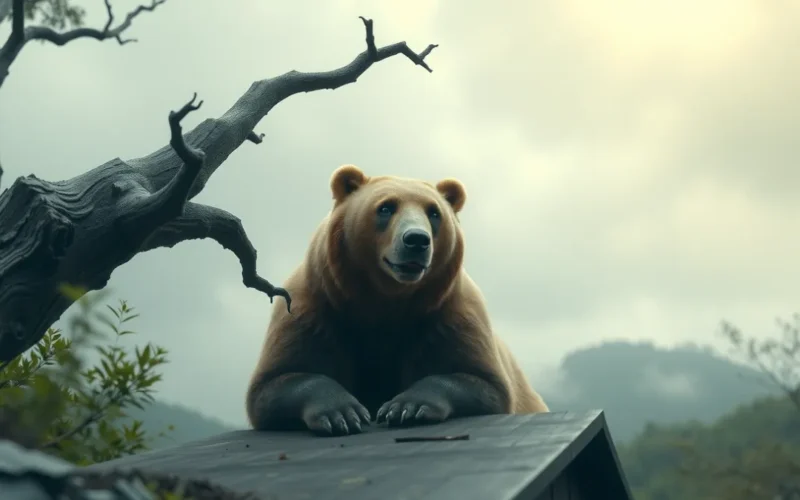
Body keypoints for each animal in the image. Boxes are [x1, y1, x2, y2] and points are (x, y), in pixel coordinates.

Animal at [245, 164, 549, 437]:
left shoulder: (448, 313)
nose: (416, 240)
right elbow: (277, 381)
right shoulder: (313, 307)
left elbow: (479, 380)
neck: (385, 299)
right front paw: (343, 412)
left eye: (434, 212)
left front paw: (405, 407)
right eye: (386, 208)